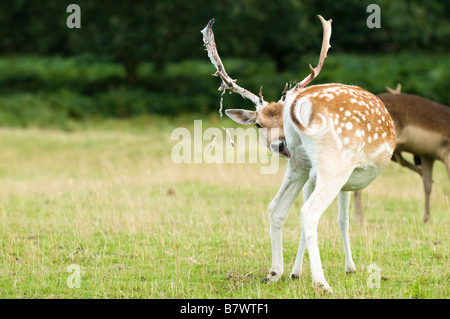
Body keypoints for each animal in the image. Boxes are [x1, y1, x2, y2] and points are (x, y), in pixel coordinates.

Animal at [200, 15, 394, 292]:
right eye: (258, 124)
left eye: (278, 119)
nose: (280, 145)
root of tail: (301, 105)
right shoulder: (344, 178)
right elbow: (343, 219)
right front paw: (349, 268)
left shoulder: (312, 173)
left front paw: (295, 272)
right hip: (334, 165)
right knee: (309, 212)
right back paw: (321, 283)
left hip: (299, 165)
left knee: (276, 207)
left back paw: (273, 272)